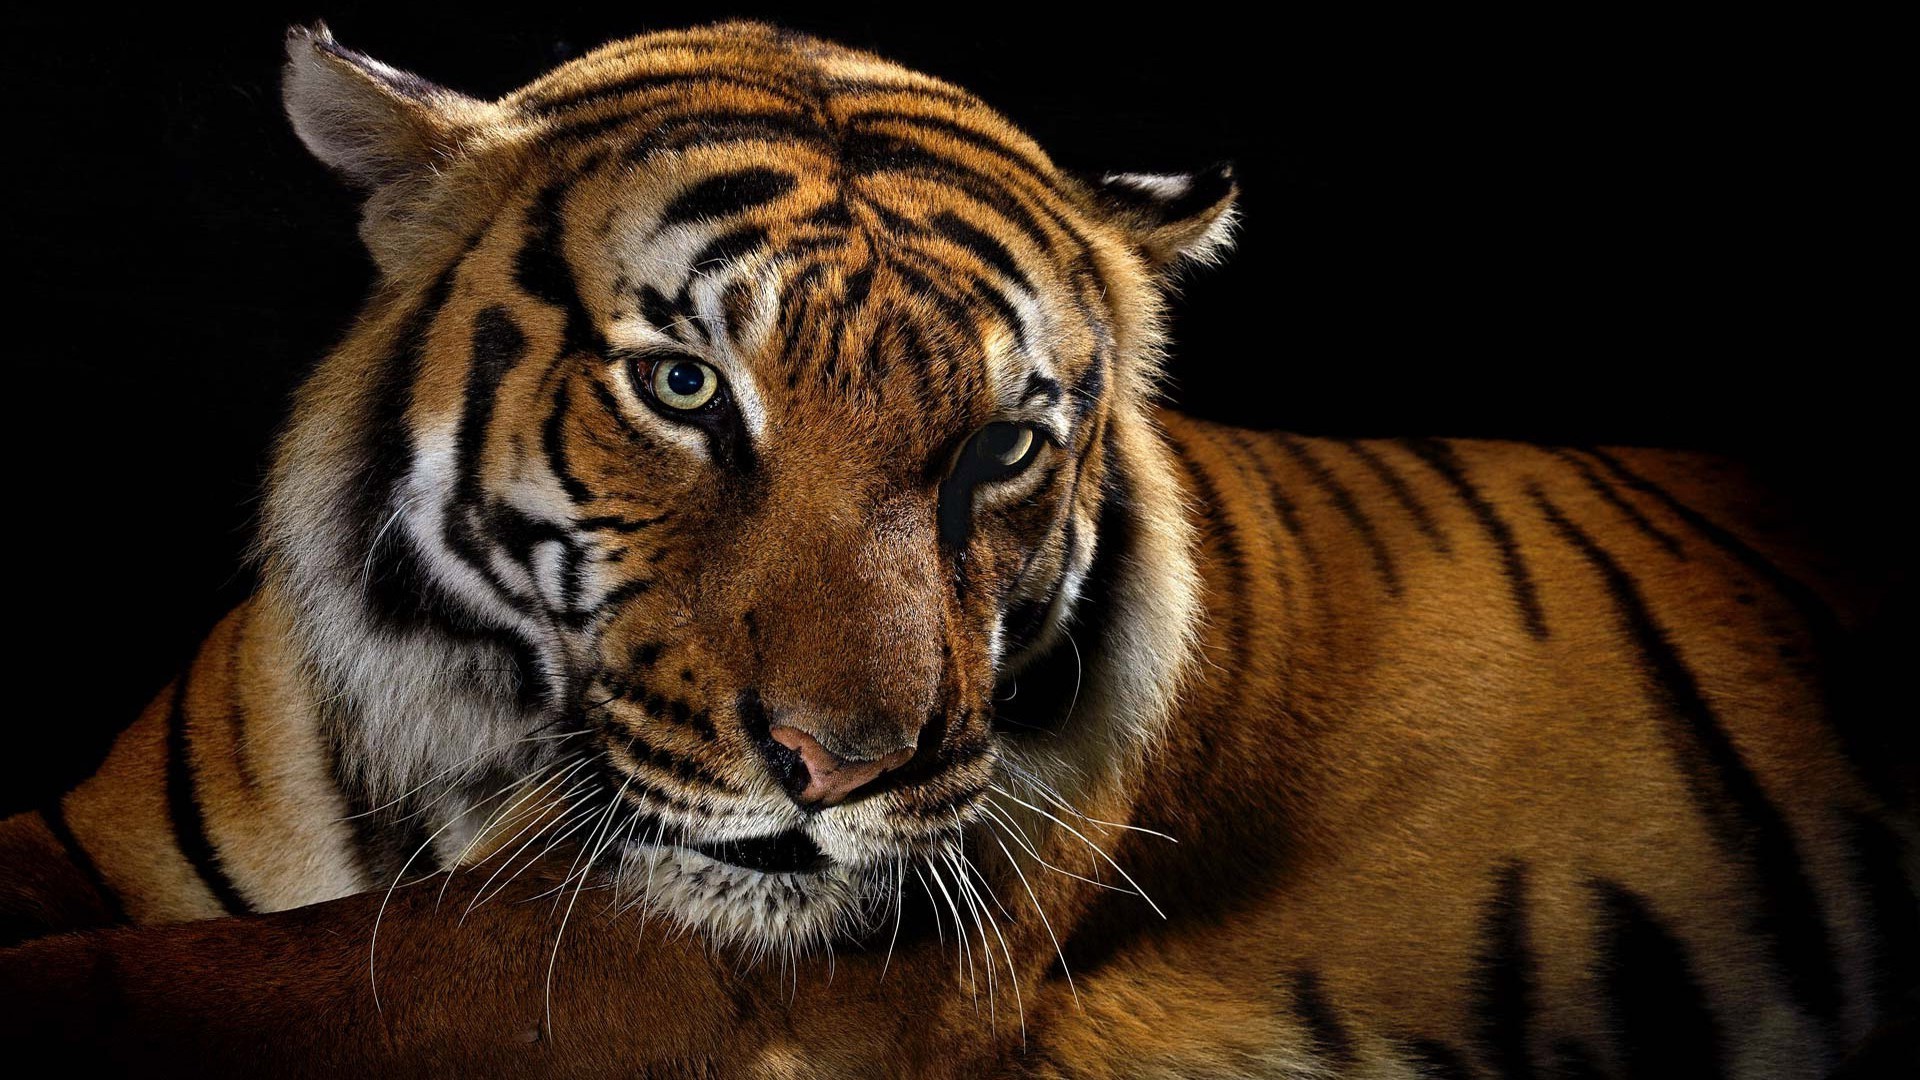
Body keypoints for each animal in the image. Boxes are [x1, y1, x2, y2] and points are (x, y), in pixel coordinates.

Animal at [3, 18, 1920, 1076]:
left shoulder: (670, 970)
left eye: (1003, 445)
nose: (845, 765)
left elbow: (262, 978)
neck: (446, 752)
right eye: (685, 385)